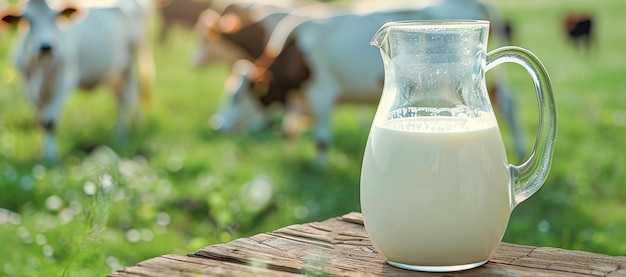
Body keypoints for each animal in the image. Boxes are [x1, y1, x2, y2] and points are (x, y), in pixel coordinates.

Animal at [1, 0, 153, 161]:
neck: (42, 66)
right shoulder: (29, 87)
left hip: (131, 62)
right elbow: (41, 120)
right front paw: (41, 151)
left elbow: (50, 121)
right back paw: (133, 124)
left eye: (55, 18)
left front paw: (51, 156)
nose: (46, 47)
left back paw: (121, 136)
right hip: (113, 73)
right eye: (29, 21)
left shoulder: (63, 82)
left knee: (129, 96)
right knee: (123, 96)